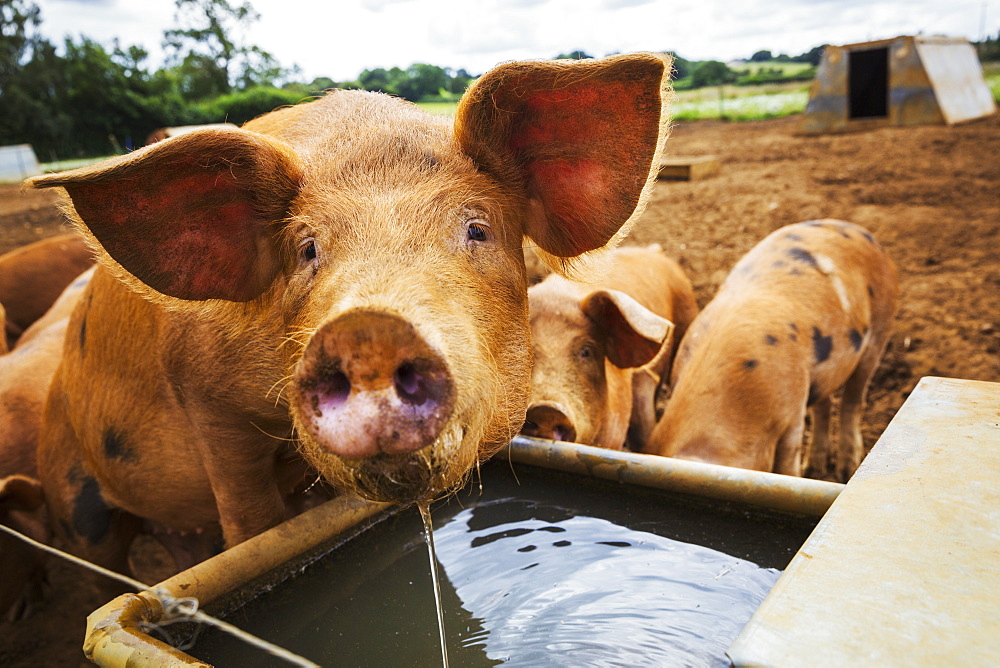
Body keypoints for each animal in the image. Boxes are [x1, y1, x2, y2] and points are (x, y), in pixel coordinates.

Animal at [27, 53, 676, 576]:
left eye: (477, 229)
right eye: (307, 249)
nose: (369, 331)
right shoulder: (204, 399)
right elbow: (251, 528)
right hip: (73, 492)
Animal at [644, 220, 904, 480]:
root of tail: (862, 232)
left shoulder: (794, 413)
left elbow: (787, 464)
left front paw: (796, 477)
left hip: (880, 328)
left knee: (853, 398)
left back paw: (845, 471)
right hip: (824, 370)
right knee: (824, 403)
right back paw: (814, 470)